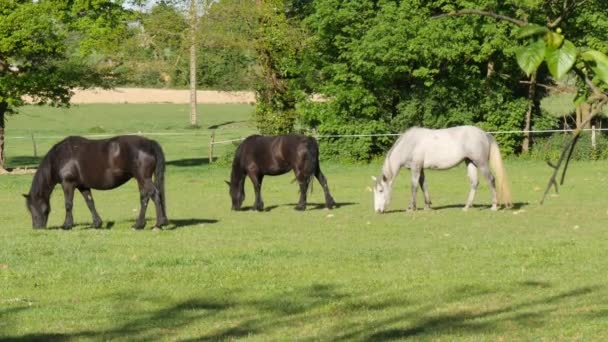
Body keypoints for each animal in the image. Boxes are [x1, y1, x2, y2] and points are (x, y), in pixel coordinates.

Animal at [24, 134, 169, 230]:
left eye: (33, 207)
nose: (36, 228)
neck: (60, 157)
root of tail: (149, 143)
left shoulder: (68, 183)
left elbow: (68, 204)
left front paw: (67, 225)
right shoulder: (83, 186)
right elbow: (90, 203)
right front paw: (96, 223)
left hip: (144, 178)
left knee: (155, 194)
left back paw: (158, 224)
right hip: (141, 179)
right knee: (145, 197)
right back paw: (139, 224)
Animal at [372, 124, 510, 212]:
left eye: (380, 190)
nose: (377, 210)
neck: (410, 144)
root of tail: (484, 134)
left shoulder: (415, 168)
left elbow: (414, 186)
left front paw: (411, 207)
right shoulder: (421, 169)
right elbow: (423, 185)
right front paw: (427, 206)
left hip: (481, 163)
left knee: (491, 180)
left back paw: (494, 206)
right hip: (470, 162)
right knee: (474, 183)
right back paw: (467, 207)